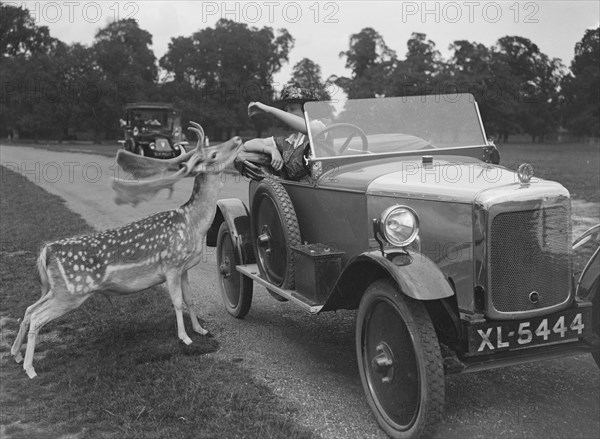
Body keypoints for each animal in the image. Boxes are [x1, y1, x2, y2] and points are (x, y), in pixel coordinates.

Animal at [11, 123, 243, 378]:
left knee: (29, 309)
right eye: (214, 154)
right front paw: (184, 338)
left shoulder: (184, 268)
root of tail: (47, 251)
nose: (237, 138)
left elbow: (190, 300)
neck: (193, 224)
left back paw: (16, 354)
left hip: (57, 289)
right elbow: (177, 302)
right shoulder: (171, 265)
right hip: (71, 293)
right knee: (36, 317)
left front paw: (200, 330)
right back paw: (30, 368)